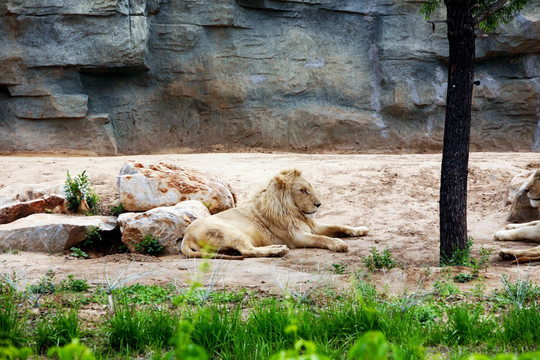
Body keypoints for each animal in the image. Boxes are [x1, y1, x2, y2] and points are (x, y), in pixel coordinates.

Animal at [179, 169, 370, 258]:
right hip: (231, 232)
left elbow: (338, 225)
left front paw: (360, 229)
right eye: (303, 190)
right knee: (247, 251)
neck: (295, 213)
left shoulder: (311, 226)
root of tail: (186, 237)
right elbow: (322, 238)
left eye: (310, 188)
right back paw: (278, 250)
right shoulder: (296, 237)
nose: (318, 204)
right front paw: (338, 244)